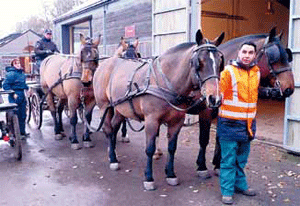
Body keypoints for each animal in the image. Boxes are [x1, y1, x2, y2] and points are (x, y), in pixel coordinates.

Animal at [93, 29, 225, 190]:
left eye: (220, 62)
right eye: (199, 62)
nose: (215, 98)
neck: (165, 82)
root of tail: (104, 64)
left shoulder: (177, 122)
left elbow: (172, 147)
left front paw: (171, 174)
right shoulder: (151, 120)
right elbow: (149, 149)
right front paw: (149, 178)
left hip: (120, 109)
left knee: (114, 128)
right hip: (104, 106)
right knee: (108, 129)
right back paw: (112, 159)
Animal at [193, 27, 294, 179]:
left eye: (288, 56)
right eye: (274, 57)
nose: (289, 88)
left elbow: (220, 138)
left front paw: (218, 165)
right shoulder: (205, 113)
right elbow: (204, 139)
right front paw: (202, 166)